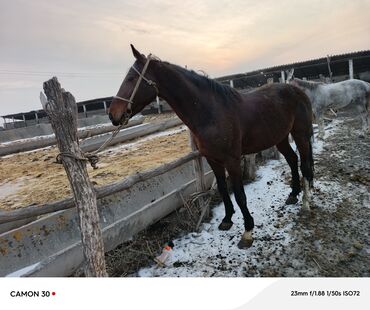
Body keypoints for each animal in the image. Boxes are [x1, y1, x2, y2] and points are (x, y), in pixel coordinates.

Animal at [108, 45, 314, 249]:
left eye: (131, 78)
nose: (112, 115)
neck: (211, 113)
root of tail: (297, 90)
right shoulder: (213, 159)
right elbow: (222, 188)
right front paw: (227, 220)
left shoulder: (232, 160)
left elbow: (239, 194)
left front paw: (247, 232)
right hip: (280, 138)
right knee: (293, 160)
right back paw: (293, 195)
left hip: (300, 135)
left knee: (304, 164)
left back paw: (306, 201)